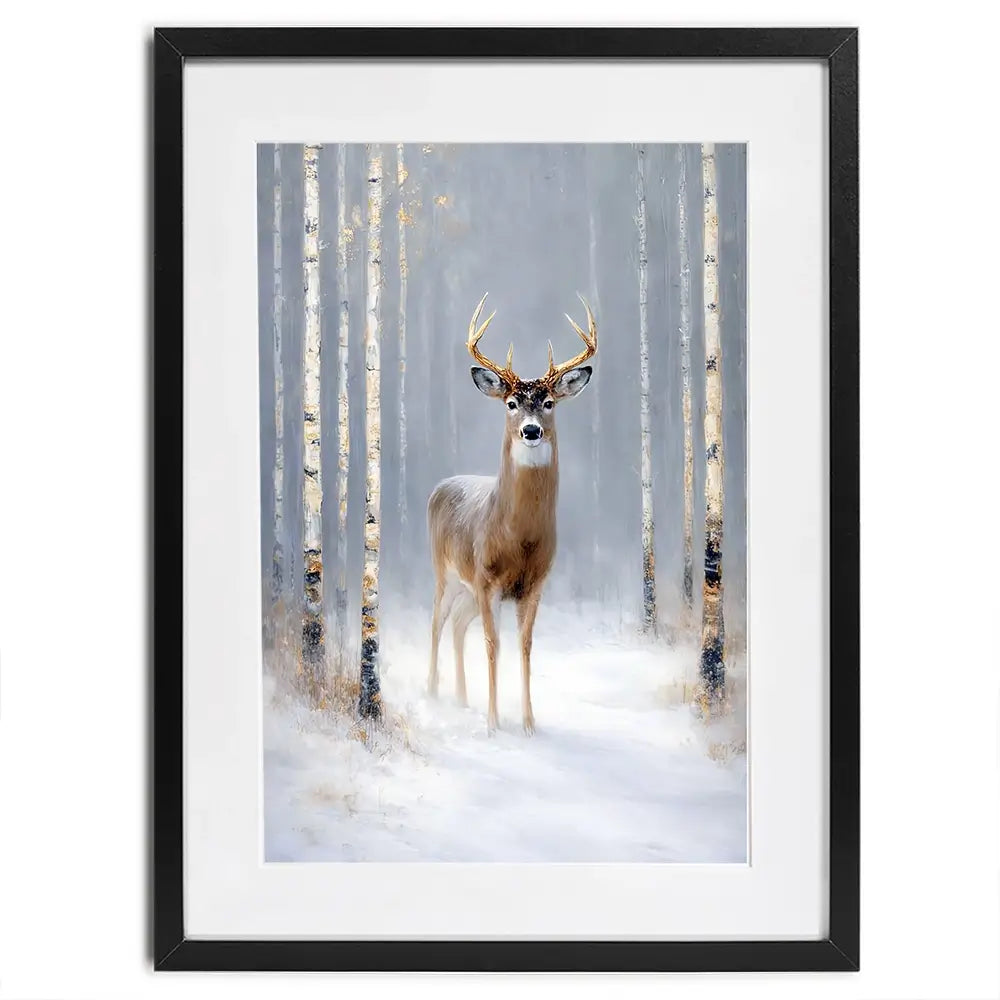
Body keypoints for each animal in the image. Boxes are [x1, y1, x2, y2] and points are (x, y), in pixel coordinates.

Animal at [427, 293, 597, 734]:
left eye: (549, 402)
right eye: (511, 403)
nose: (531, 430)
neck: (519, 538)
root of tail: (439, 486)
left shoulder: (533, 585)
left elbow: (525, 645)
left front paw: (528, 723)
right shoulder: (487, 580)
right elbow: (492, 644)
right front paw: (492, 723)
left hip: (468, 589)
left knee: (457, 625)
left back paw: (461, 698)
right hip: (446, 572)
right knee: (437, 622)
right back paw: (432, 692)